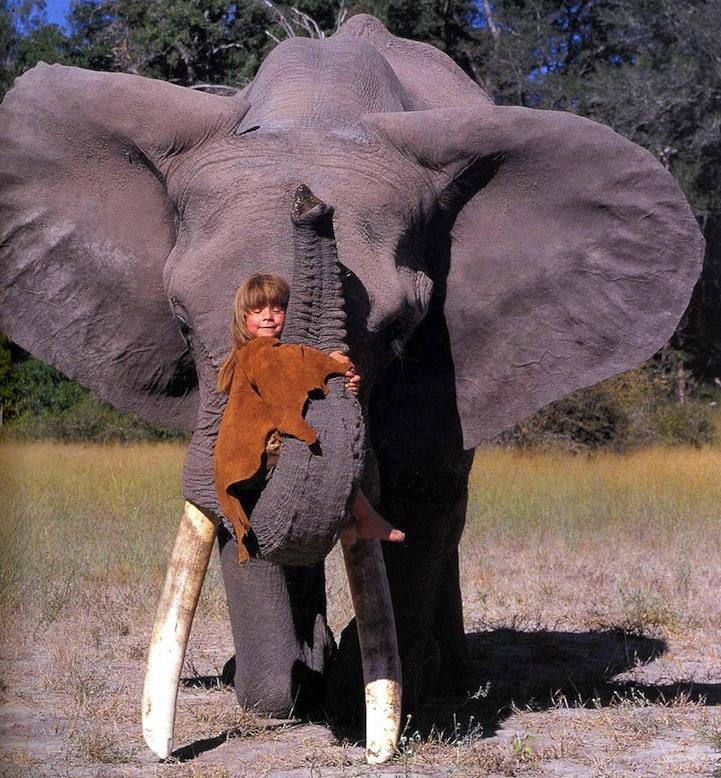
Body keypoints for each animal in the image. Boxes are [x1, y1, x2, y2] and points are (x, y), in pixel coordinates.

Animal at [0, 12, 703, 764]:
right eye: (182, 320)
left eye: (398, 330)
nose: (309, 203)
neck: (317, 110)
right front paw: (288, 684)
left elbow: (419, 491)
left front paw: (363, 692)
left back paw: (440, 675)